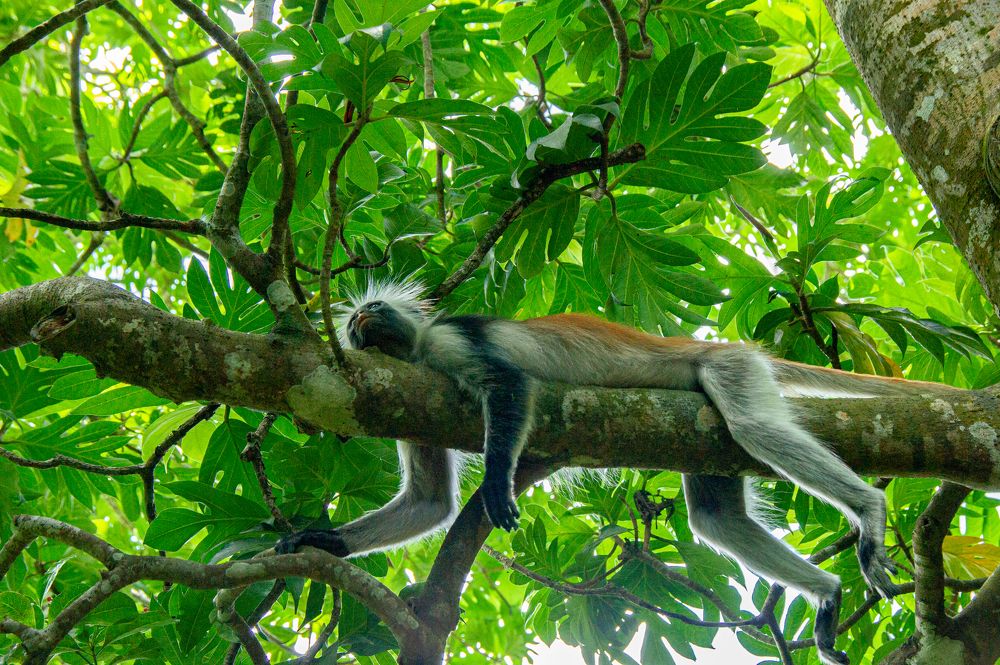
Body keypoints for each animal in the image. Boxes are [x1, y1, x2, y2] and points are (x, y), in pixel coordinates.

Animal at [277, 280, 963, 665]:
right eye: (355, 319)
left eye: (372, 306)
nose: (360, 319)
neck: (414, 354)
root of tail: (720, 347)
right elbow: (428, 502)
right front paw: (318, 540)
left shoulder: (448, 344)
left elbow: (511, 386)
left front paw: (497, 483)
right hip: (703, 440)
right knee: (716, 515)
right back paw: (827, 594)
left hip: (729, 369)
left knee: (753, 427)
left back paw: (869, 512)